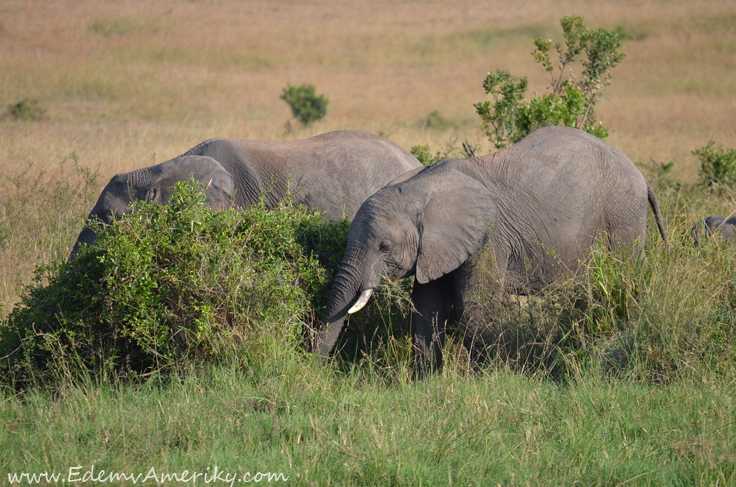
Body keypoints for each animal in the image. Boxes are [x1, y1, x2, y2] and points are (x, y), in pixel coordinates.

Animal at [314, 126, 668, 378]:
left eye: (384, 247)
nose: (315, 371)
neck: (419, 188)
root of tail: (641, 175)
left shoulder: (488, 236)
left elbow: (474, 305)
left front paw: (481, 379)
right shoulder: (436, 247)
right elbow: (427, 307)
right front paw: (425, 383)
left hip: (622, 215)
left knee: (624, 276)